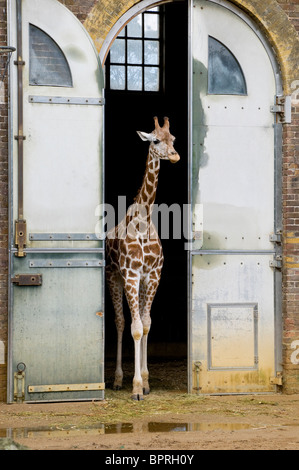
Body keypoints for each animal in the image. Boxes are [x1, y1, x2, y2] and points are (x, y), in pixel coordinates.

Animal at [105, 115, 180, 398]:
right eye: (156, 140)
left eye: (173, 139)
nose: (175, 156)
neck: (143, 221)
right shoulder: (130, 274)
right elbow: (135, 327)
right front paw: (136, 387)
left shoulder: (152, 275)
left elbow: (146, 324)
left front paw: (146, 382)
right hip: (114, 278)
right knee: (119, 322)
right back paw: (117, 379)